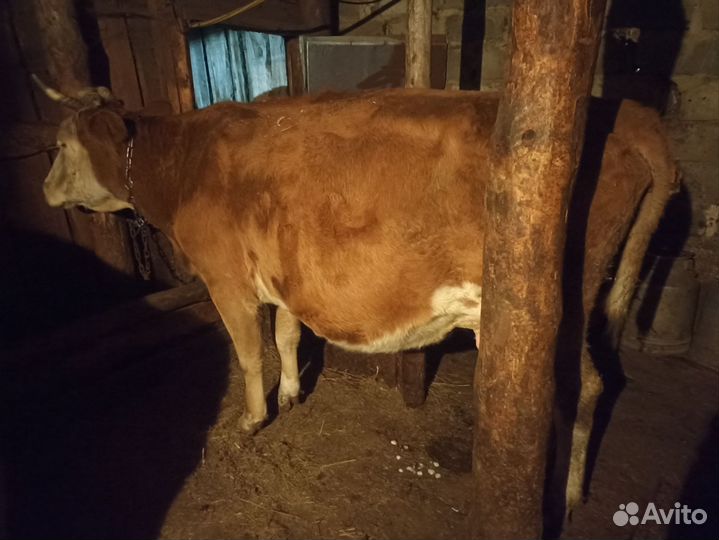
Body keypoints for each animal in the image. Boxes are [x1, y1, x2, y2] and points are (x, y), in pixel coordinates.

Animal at [35, 78, 678, 514]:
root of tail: (627, 115)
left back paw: (566, 495)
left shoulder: (226, 279)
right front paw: (291, 394)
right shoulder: (285, 278)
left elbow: (248, 353)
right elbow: (287, 336)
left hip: (556, 309)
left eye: (62, 145)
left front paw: (251, 420)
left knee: (586, 388)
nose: (43, 190)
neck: (184, 161)